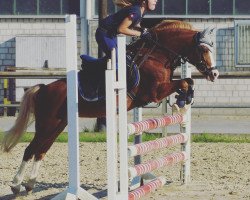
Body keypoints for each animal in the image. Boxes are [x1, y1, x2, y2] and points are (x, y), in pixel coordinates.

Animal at [0, 20, 218, 194]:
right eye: (203, 50)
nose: (214, 74)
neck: (157, 54)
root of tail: (44, 88)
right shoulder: (154, 92)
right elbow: (185, 82)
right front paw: (181, 102)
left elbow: (188, 82)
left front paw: (183, 101)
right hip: (47, 124)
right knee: (30, 149)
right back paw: (16, 184)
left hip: (58, 125)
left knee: (41, 151)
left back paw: (30, 184)